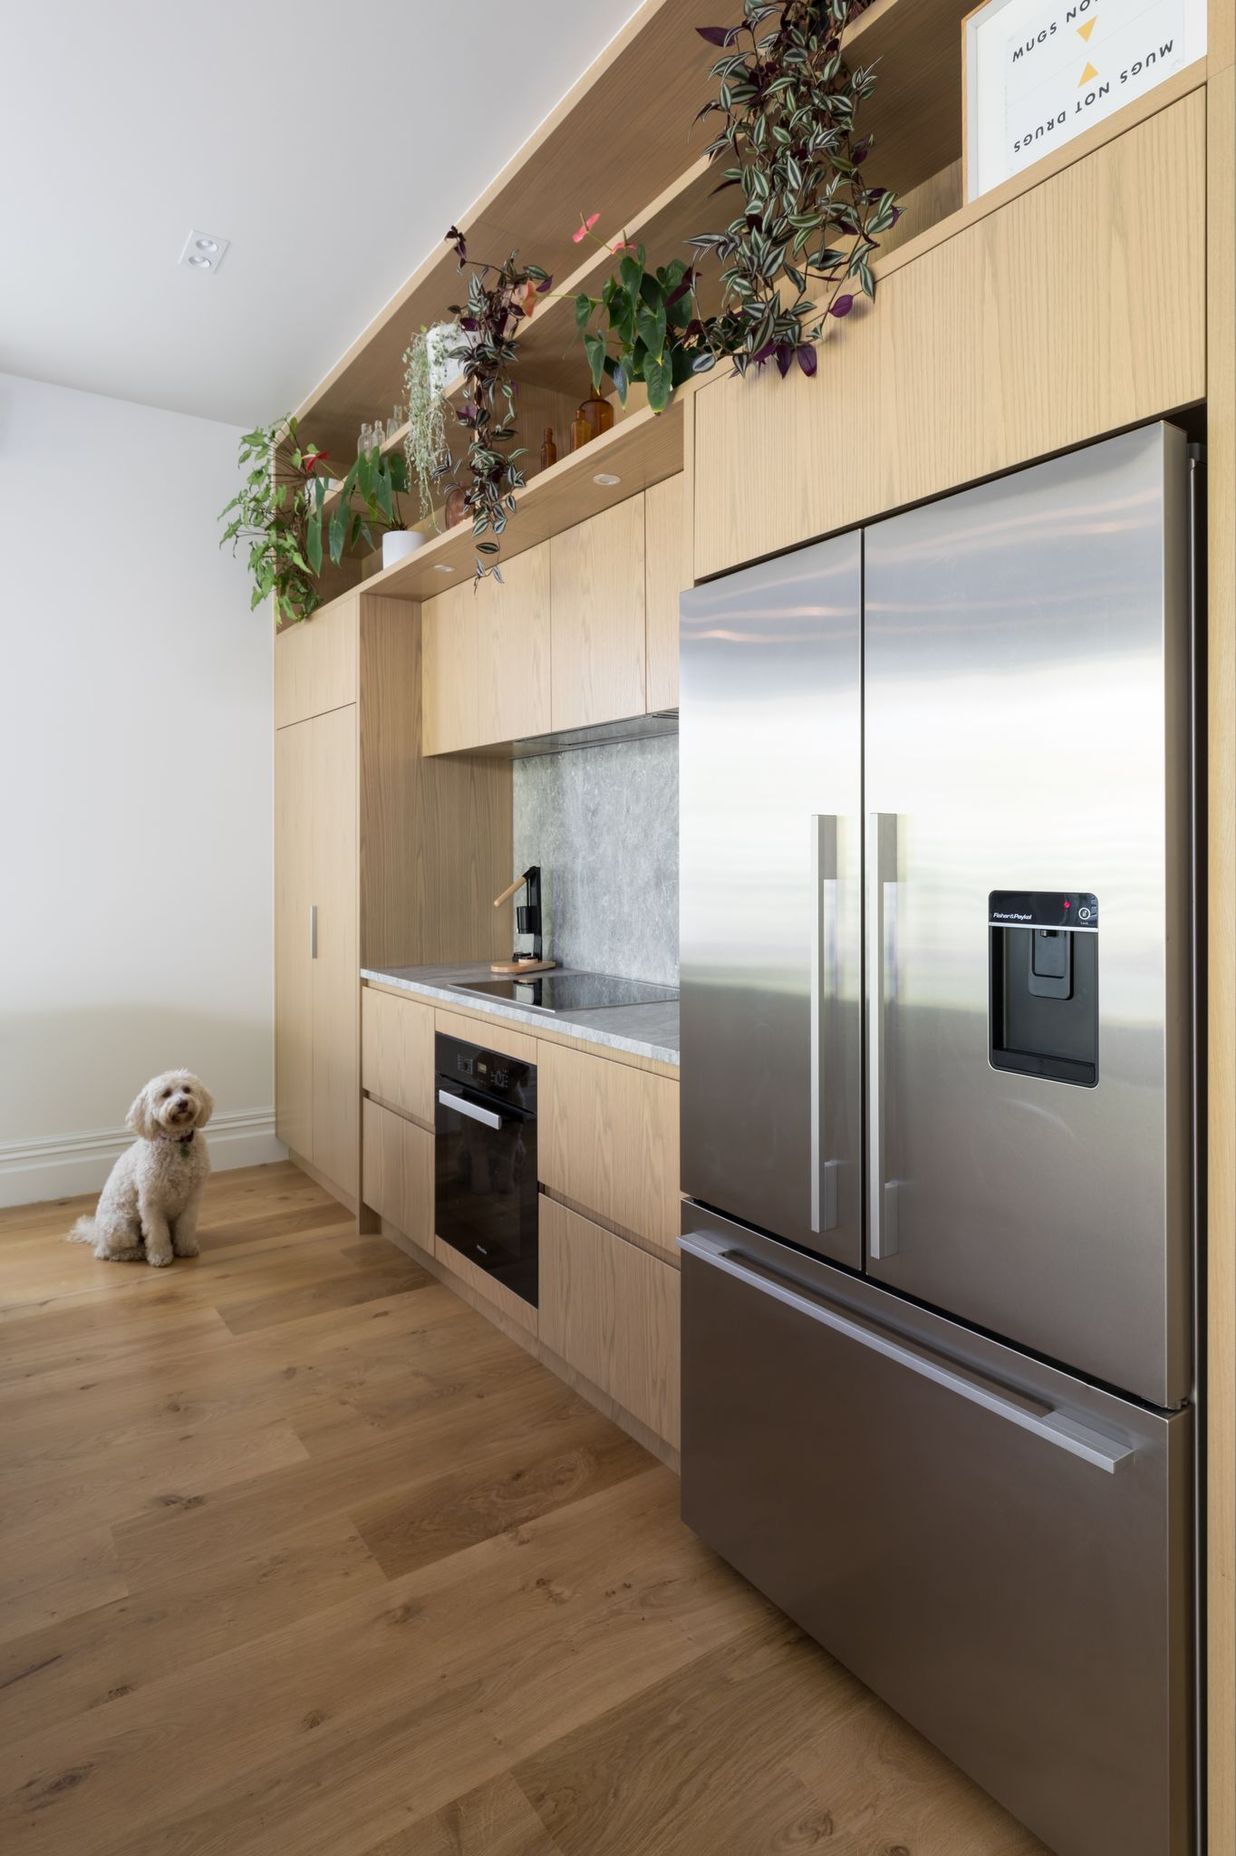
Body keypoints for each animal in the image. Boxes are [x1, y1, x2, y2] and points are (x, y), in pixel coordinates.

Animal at [68, 1076, 213, 1262]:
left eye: (187, 1089)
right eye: (166, 1094)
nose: (182, 1103)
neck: (177, 1142)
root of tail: (97, 1235)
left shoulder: (192, 1198)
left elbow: (186, 1226)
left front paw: (186, 1248)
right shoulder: (151, 1200)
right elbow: (157, 1232)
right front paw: (160, 1256)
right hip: (121, 1227)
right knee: (109, 1252)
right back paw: (138, 1252)